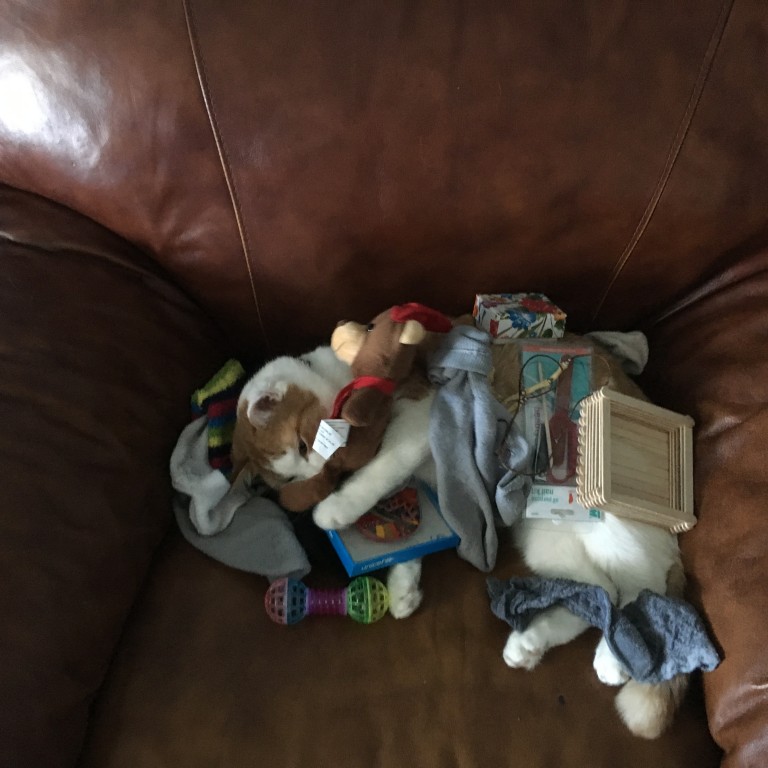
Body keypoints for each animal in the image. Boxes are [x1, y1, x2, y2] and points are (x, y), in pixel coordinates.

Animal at [231, 344, 434, 618]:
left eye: (302, 446)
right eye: (293, 478)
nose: (325, 471)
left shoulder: (420, 407)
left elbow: (391, 460)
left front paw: (337, 507)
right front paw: (403, 586)